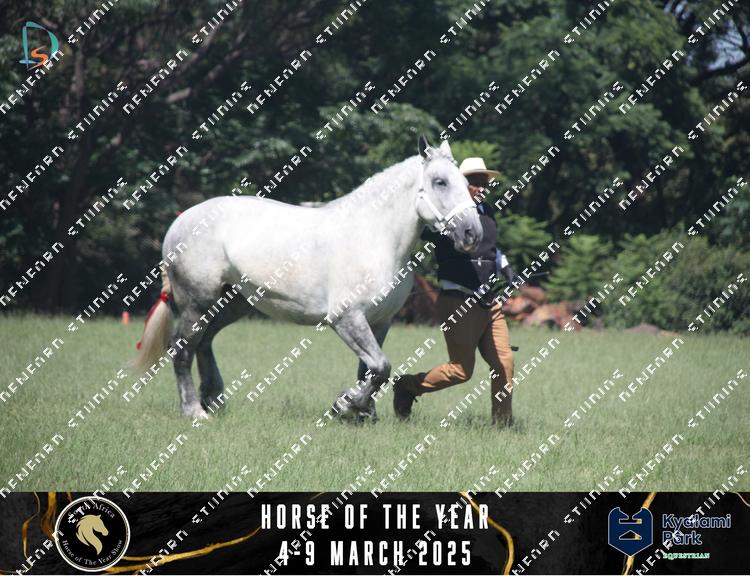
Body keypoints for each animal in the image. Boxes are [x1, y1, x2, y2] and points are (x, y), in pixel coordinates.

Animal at [134, 136, 482, 421]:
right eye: (440, 182)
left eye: (465, 184)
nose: (472, 234)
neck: (374, 237)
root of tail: (181, 221)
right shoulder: (346, 318)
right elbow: (381, 368)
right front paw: (345, 405)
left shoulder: (381, 322)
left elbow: (370, 371)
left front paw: (363, 413)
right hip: (197, 303)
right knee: (183, 349)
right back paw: (194, 411)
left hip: (233, 303)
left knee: (204, 343)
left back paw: (214, 400)